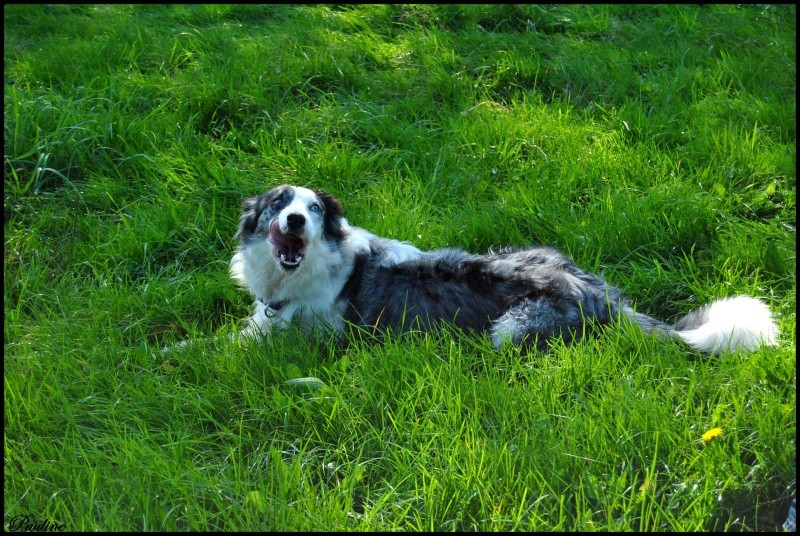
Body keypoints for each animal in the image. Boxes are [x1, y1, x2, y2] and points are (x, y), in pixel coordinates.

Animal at [228, 185, 780, 356]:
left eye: (315, 209)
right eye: (279, 202)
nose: (295, 220)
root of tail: (605, 296)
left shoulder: (308, 335)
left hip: (510, 331)